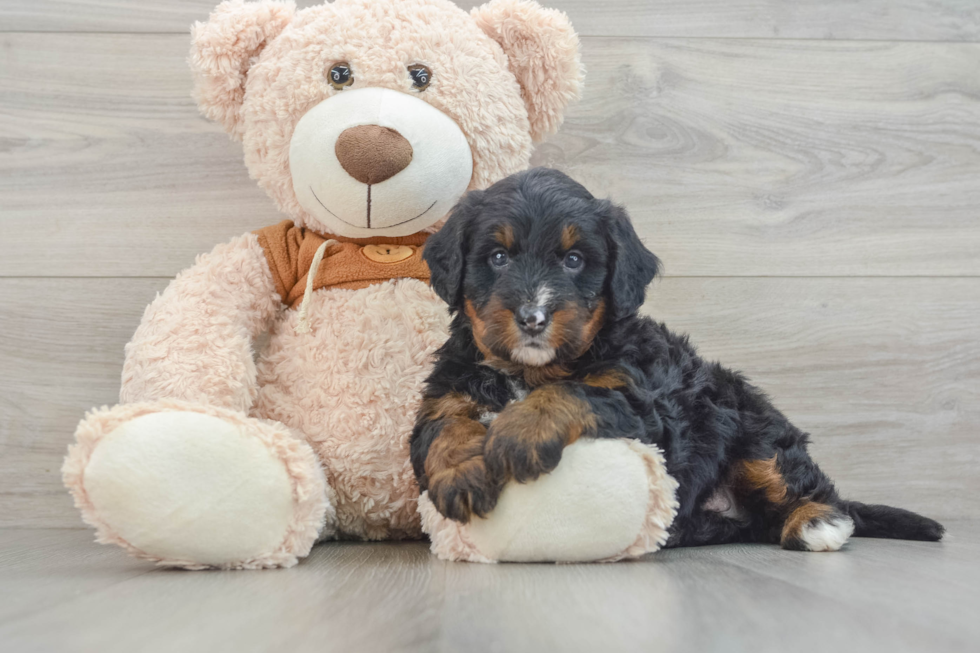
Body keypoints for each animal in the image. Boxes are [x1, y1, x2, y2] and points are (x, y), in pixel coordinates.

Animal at [410, 168, 944, 552]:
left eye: (574, 261)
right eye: (498, 258)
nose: (533, 318)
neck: (530, 368)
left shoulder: (643, 405)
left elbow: (573, 390)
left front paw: (519, 432)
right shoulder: (446, 391)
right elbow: (444, 427)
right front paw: (461, 473)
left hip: (754, 427)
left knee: (800, 481)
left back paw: (817, 522)